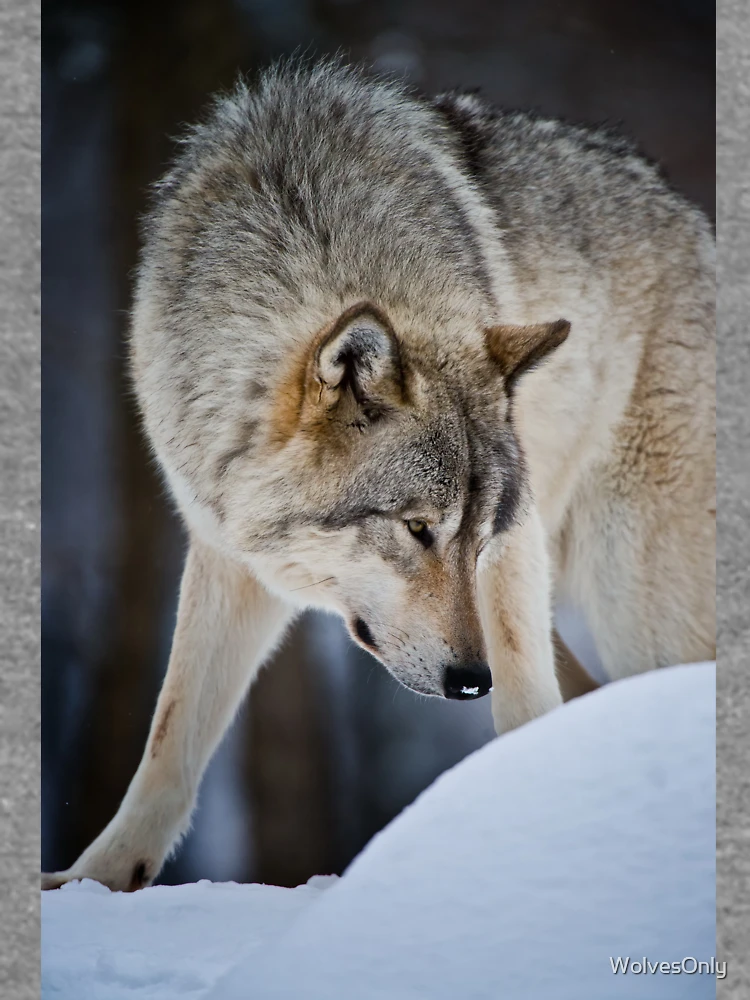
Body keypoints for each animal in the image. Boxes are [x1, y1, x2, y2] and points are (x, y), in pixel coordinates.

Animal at [42, 60, 714, 892]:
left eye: (477, 537)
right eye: (417, 529)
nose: (471, 680)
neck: (307, 234)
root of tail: (698, 223)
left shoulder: (515, 550)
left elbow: (524, 699)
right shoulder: (225, 552)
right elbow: (172, 736)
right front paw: (93, 883)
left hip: (638, 604)